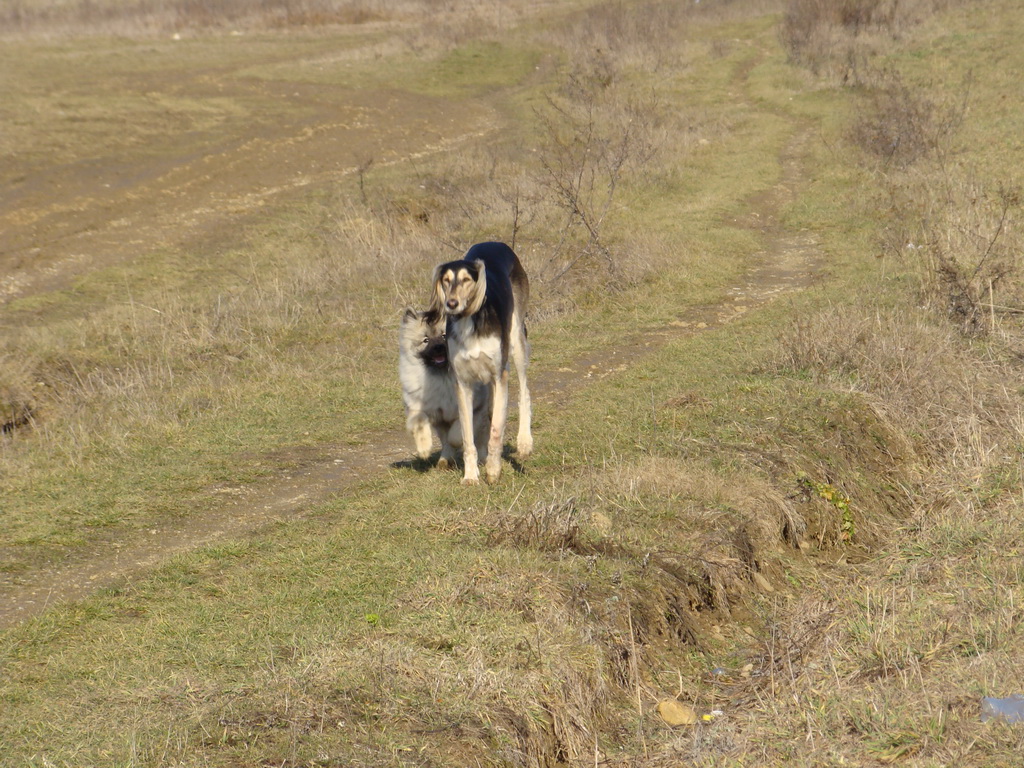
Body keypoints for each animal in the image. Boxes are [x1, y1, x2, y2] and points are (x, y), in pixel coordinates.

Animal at [432, 243, 532, 483]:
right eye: (446, 280)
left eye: (466, 279)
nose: (451, 304)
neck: (470, 322)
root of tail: (497, 244)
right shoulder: (463, 383)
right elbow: (467, 435)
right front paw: (470, 476)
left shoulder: (499, 376)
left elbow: (496, 430)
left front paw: (493, 470)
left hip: (516, 341)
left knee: (524, 391)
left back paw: (525, 442)